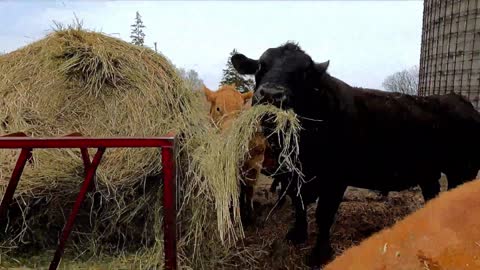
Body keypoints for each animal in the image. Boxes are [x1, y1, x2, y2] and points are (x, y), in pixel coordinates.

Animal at [231, 41, 480, 266]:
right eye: (260, 67)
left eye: (304, 73)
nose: (271, 94)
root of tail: (460, 99)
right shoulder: (292, 175)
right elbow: (299, 206)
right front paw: (297, 235)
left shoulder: (335, 179)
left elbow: (324, 214)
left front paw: (319, 255)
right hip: (429, 173)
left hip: (463, 170)